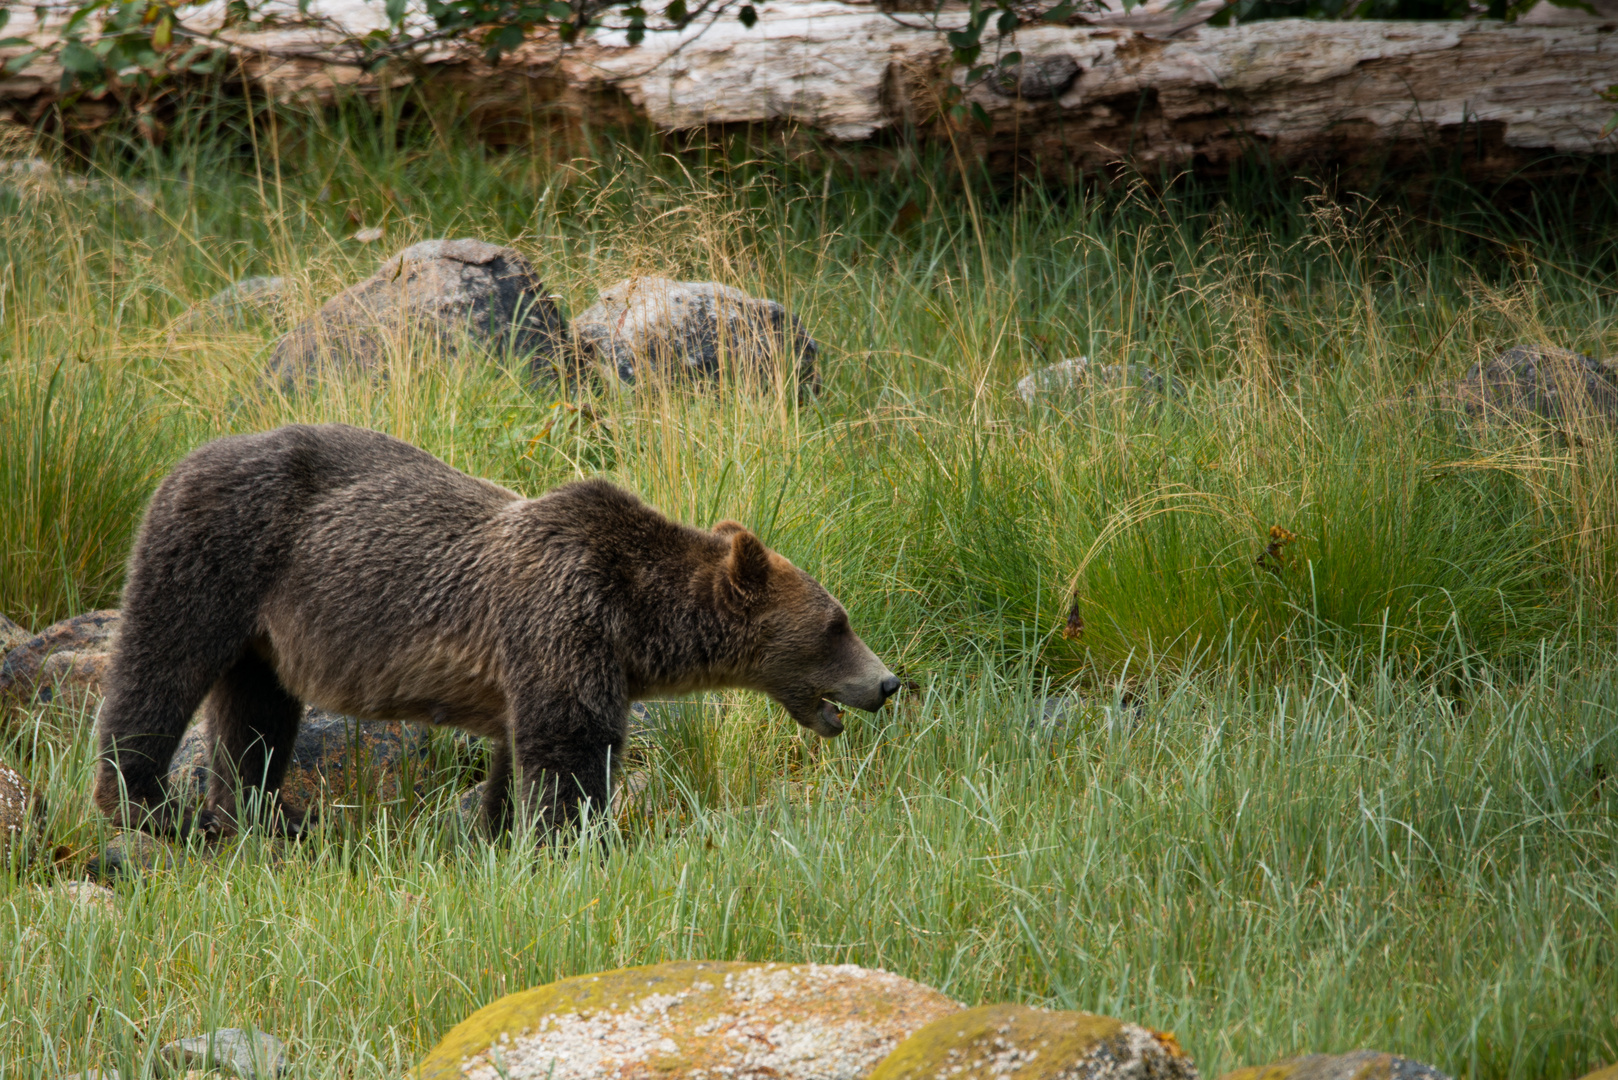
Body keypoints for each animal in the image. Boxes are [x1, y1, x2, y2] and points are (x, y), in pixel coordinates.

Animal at [91, 420, 899, 835]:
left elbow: (522, 753)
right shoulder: (563, 616)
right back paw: (150, 807)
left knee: (255, 715)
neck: (636, 622)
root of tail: (183, 457)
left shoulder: (546, 658)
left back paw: (258, 817)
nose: (889, 682)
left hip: (266, 632)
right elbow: (571, 750)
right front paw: (577, 842)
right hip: (214, 558)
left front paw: (499, 830)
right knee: (160, 669)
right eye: (838, 623)